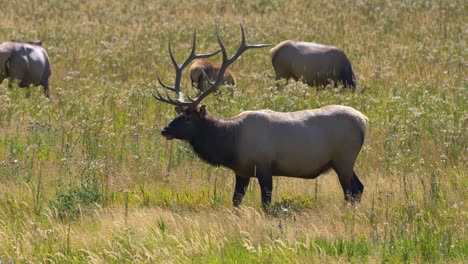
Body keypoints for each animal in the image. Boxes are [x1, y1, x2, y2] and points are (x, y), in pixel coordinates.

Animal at [155, 25, 368, 210]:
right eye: (179, 113)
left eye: (189, 117)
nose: (165, 130)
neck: (231, 143)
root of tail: (364, 121)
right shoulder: (241, 172)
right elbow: (236, 201)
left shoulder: (264, 166)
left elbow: (266, 203)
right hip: (343, 161)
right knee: (359, 187)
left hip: (344, 158)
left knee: (351, 190)